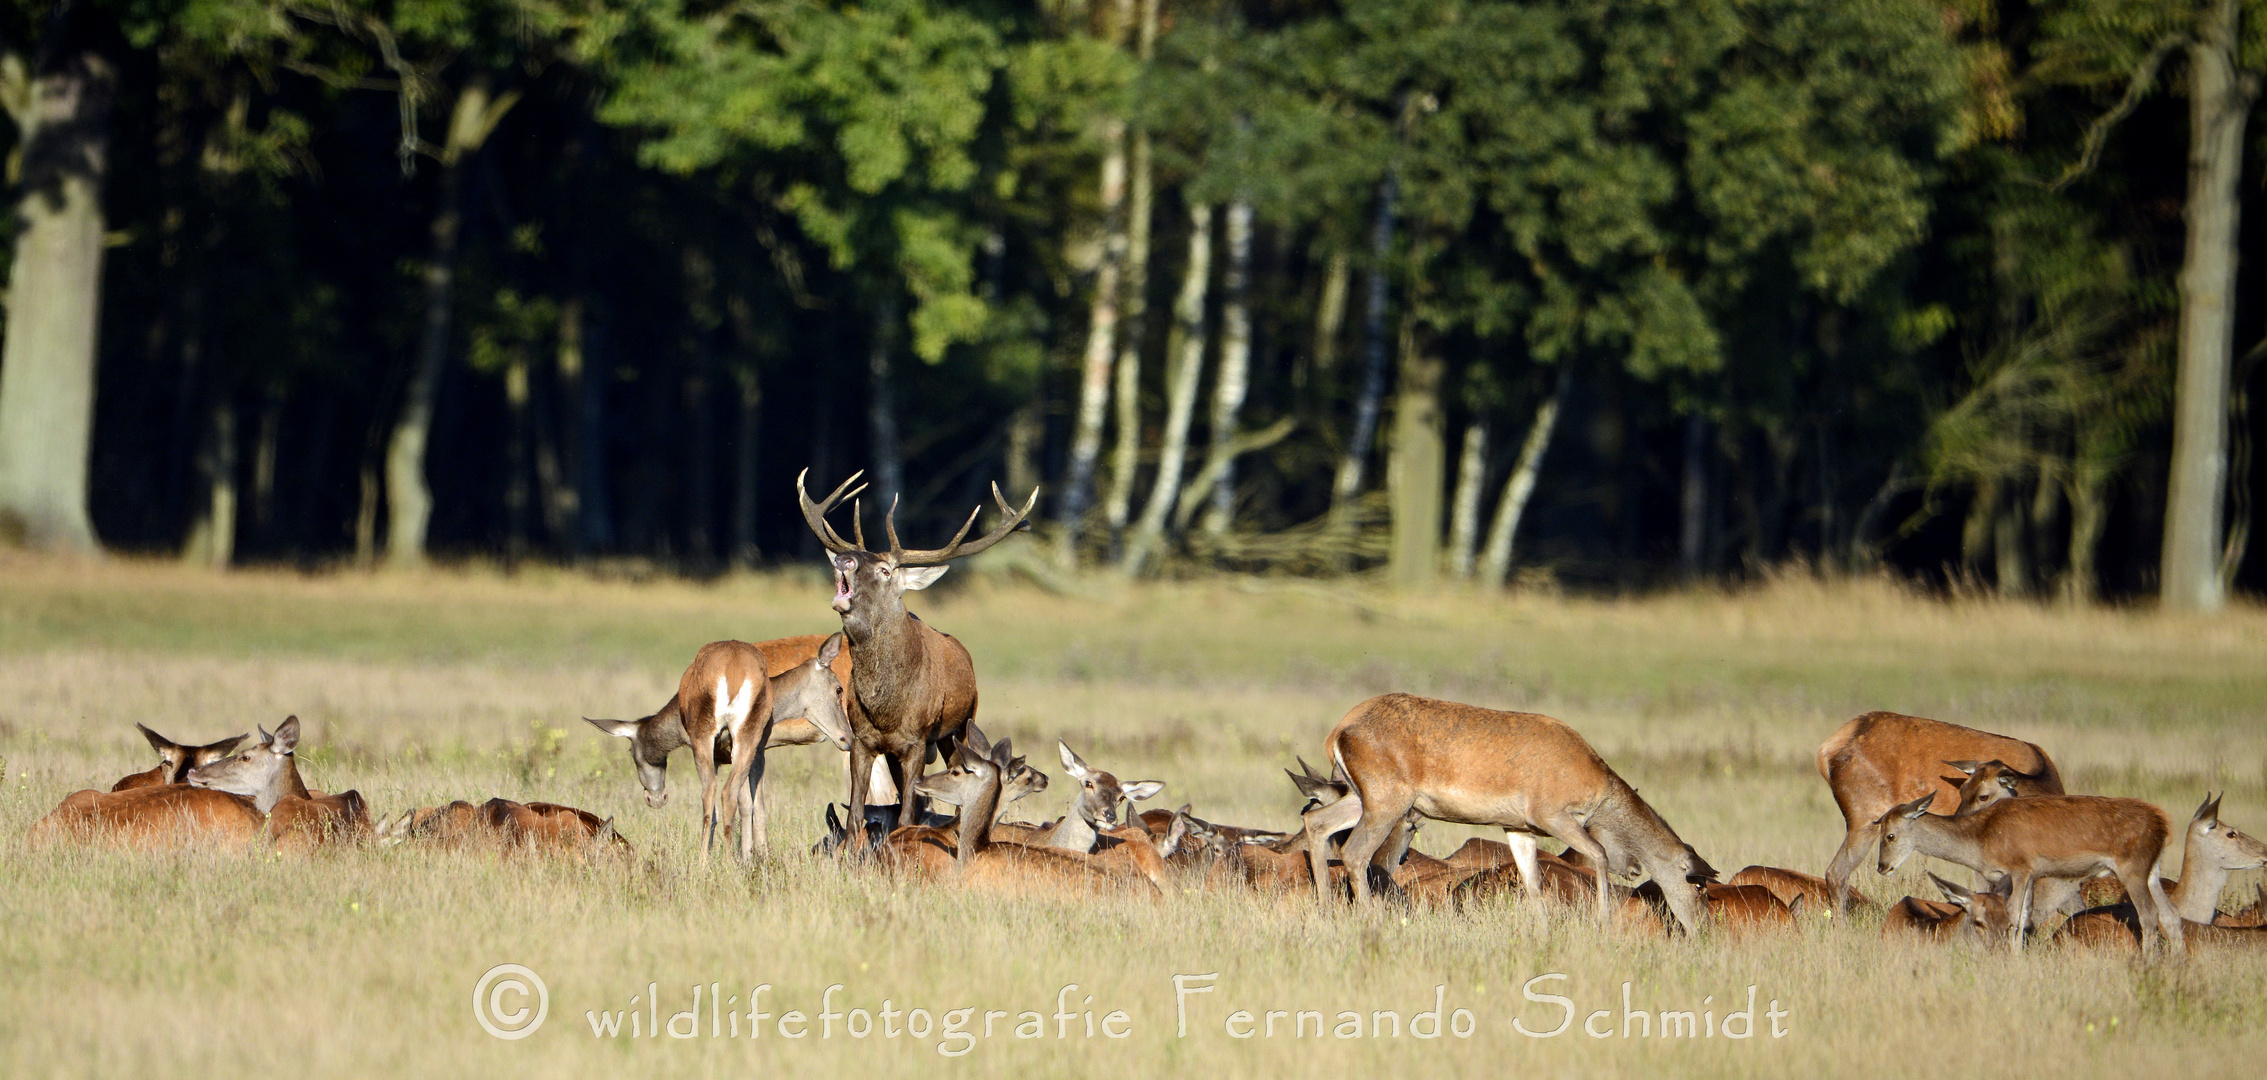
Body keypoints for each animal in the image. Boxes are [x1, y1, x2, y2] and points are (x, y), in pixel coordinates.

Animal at [797, 467, 1038, 848]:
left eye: (884, 570)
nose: (844, 559)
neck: (887, 709)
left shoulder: (916, 742)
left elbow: (906, 814)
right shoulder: (862, 741)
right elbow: (855, 814)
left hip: (959, 727)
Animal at [1305, 694, 1704, 930]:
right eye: (1696, 882)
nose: (1699, 929)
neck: (1595, 783)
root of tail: (1339, 731)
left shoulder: (1518, 828)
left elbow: (1533, 882)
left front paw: (1544, 932)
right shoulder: (1551, 815)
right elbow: (1599, 853)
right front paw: (1602, 923)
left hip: (1363, 798)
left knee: (1317, 822)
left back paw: (1325, 914)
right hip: (1387, 801)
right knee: (1355, 851)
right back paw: (1369, 919)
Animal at [1877, 794, 2176, 952]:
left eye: (1890, 835)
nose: (1882, 866)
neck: (1980, 840)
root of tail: (2163, 825)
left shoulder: (2019, 868)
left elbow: (2014, 916)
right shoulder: (2030, 875)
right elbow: (2024, 918)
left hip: (2132, 869)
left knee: (2149, 915)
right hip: (2151, 870)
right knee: (2171, 914)